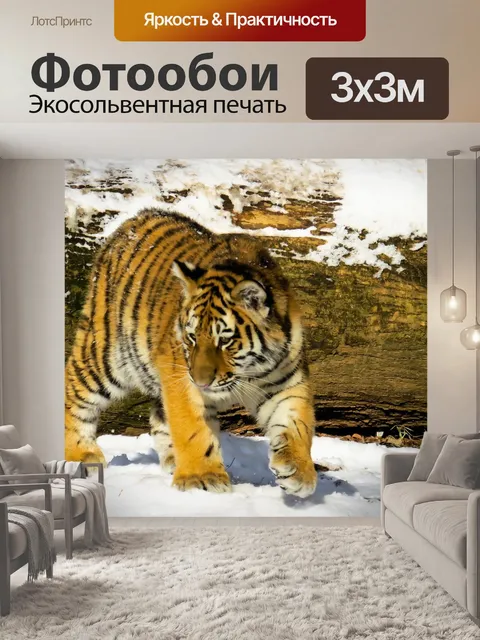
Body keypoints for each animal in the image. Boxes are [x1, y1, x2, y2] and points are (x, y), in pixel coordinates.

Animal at [65, 209, 317, 498]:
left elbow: (297, 423)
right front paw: (201, 478)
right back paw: (80, 456)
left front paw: (298, 472)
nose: (202, 381)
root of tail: (133, 219)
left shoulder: (286, 380)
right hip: (105, 355)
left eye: (225, 340)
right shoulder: (181, 379)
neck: (250, 371)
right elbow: (192, 429)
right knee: (74, 392)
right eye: (192, 337)